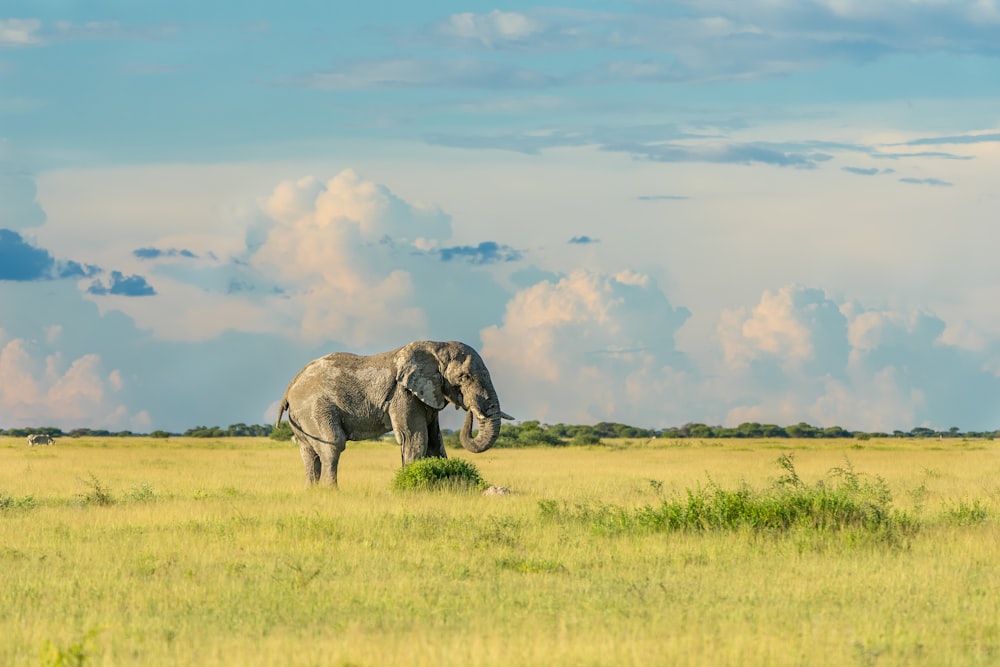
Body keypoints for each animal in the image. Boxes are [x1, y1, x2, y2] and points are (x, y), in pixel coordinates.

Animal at [274, 342, 512, 488]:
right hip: (315, 408)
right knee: (333, 445)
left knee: (308, 453)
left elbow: (435, 442)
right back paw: (331, 491)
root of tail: (291, 385)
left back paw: (312, 491)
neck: (436, 346)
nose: (470, 411)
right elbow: (416, 438)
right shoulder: (403, 394)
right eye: (464, 377)